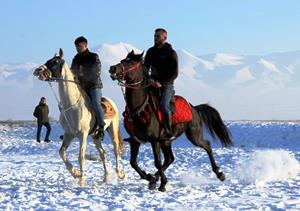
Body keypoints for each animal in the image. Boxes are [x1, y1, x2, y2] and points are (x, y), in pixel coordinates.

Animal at [33, 48, 125, 186]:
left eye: (55, 62)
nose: (38, 71)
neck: (72, 106)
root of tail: (111, 102)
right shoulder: (69, 134)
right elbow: (62, 152)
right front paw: (75, 173)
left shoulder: (82, 135)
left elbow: (80, 157)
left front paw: (81, 180)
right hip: (95, 136)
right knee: (103, 153)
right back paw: (105, 178)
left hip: (112, 130)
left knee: (116, 151)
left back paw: (120, 174)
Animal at [109, 50, 233, 191]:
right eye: (122, 60)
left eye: (131, 63)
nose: (112, 68)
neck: (140, 109)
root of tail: (194, 108)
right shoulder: (136, 141)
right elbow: (133, 162)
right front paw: (150, 178)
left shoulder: (155, 141)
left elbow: (156, 162)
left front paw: (162, 184)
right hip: (167, 141)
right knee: (170, 159)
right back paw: (155, 178)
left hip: (193, 136)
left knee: (206, 145)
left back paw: (219, 173)